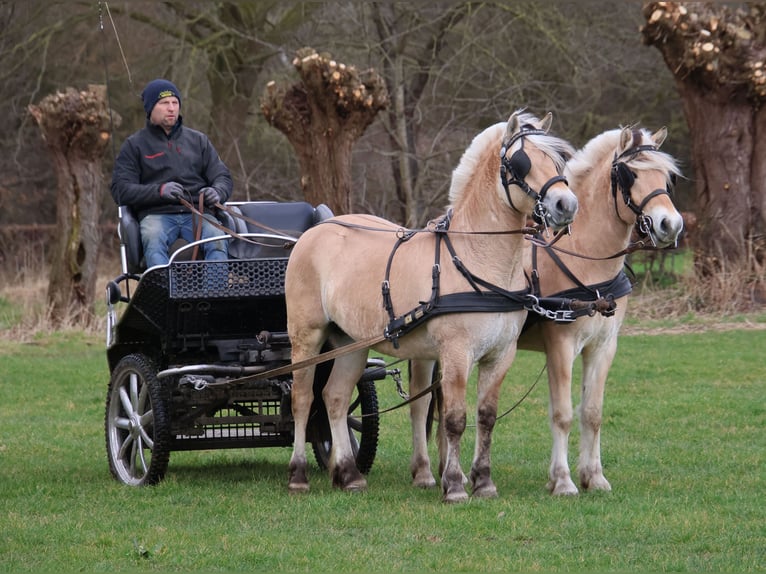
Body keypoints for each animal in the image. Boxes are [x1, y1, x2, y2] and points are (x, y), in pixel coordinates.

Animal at [284, 109, 580, 504]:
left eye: (559, 161)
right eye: (521, 162)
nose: (567, 205)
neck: (477, 258)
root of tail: (316, 230)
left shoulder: (501, 355)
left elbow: (486, 417)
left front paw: (484, 482)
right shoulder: (455, 353)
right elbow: (454, 418)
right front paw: (454, 485)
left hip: (350, 342)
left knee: (334, 397)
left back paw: (348, 474)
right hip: (306, 337)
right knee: (302, 399)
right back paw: (298, 474)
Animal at [412, 125, 688, 496]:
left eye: (667, 177)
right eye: (630, 174)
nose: (669, 225)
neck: (585, 259)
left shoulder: (603, 347)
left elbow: (592, 413)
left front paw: (594, 476)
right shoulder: (561, 345)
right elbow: (562, 413)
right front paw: (563, 480)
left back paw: (447, 471)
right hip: (427, 352)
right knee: (420, 406)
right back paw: (426, 472)